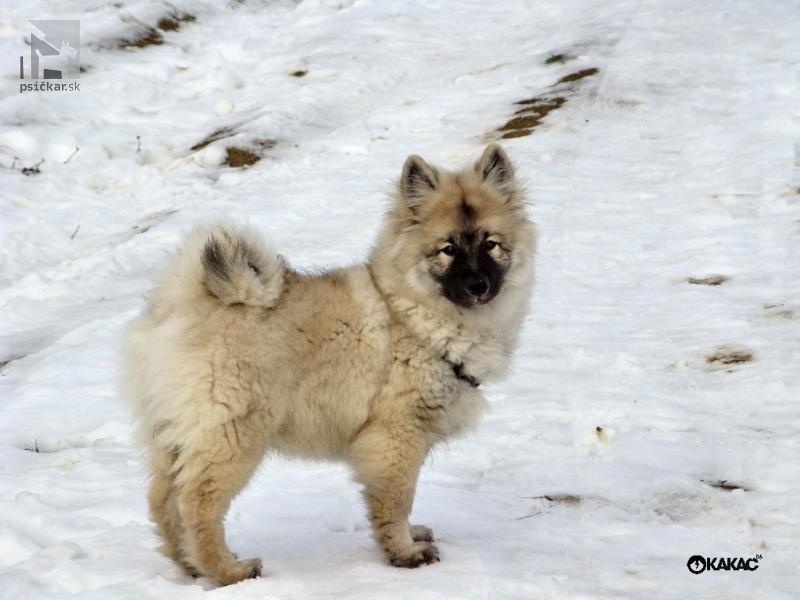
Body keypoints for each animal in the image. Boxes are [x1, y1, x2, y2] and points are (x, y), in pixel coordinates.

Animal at [122, 145, 536, 584]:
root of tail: (182, 302)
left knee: (162, 501)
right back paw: (228, 570)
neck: (411, 311)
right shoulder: (397, 436)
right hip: (233, 433)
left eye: (490, 244)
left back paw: (188, 565)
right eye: (449, 249)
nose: (478, 286)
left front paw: (412, 537)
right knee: (197, 501)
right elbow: (397, 500)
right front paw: (405, 553)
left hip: (175, 436)